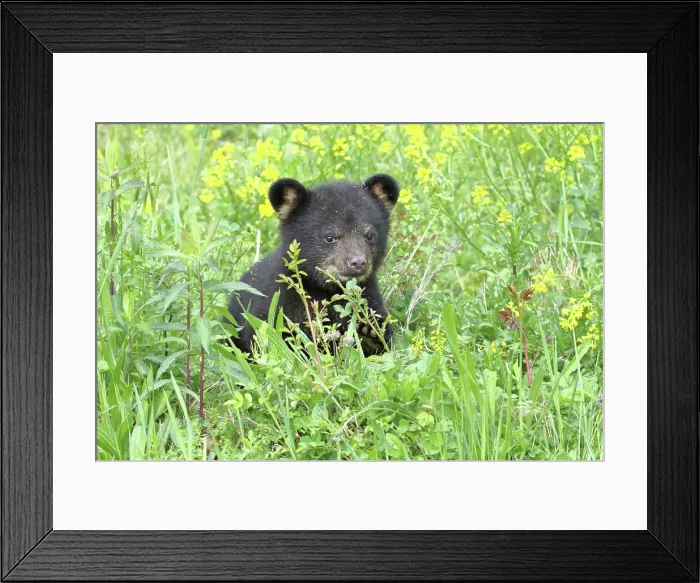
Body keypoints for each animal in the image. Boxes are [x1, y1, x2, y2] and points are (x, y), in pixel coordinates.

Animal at [226, 173, 399, 356]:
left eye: (369, 235)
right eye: (329, 237)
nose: (358, 262)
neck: (324, 290)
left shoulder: (368, 295)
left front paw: (370, 332)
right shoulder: (276, 302)